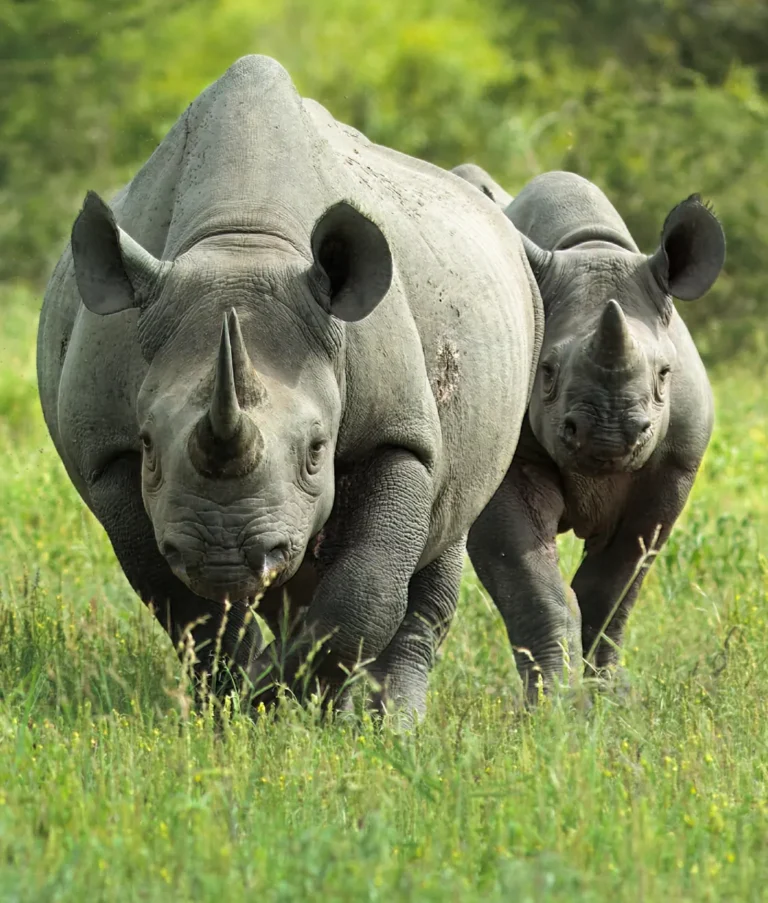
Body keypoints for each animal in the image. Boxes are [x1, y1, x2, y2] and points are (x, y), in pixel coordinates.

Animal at [37, 56, 544, 719]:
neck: (241, 241)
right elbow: (182, 602)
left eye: (316, 451)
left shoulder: (399, 433)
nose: (223, 554)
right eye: (147, 445)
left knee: (441, 536)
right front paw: (242, 699)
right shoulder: (108, 452)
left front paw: (290, 695)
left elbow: (367, 590)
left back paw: (390, 723)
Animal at [454, 167, 725, 698]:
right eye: (547, 372)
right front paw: (552, 701)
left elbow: (612, 587)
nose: (610, 433)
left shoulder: (671, 467)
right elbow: (532, 584)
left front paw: (608, 697)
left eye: (665, 375)